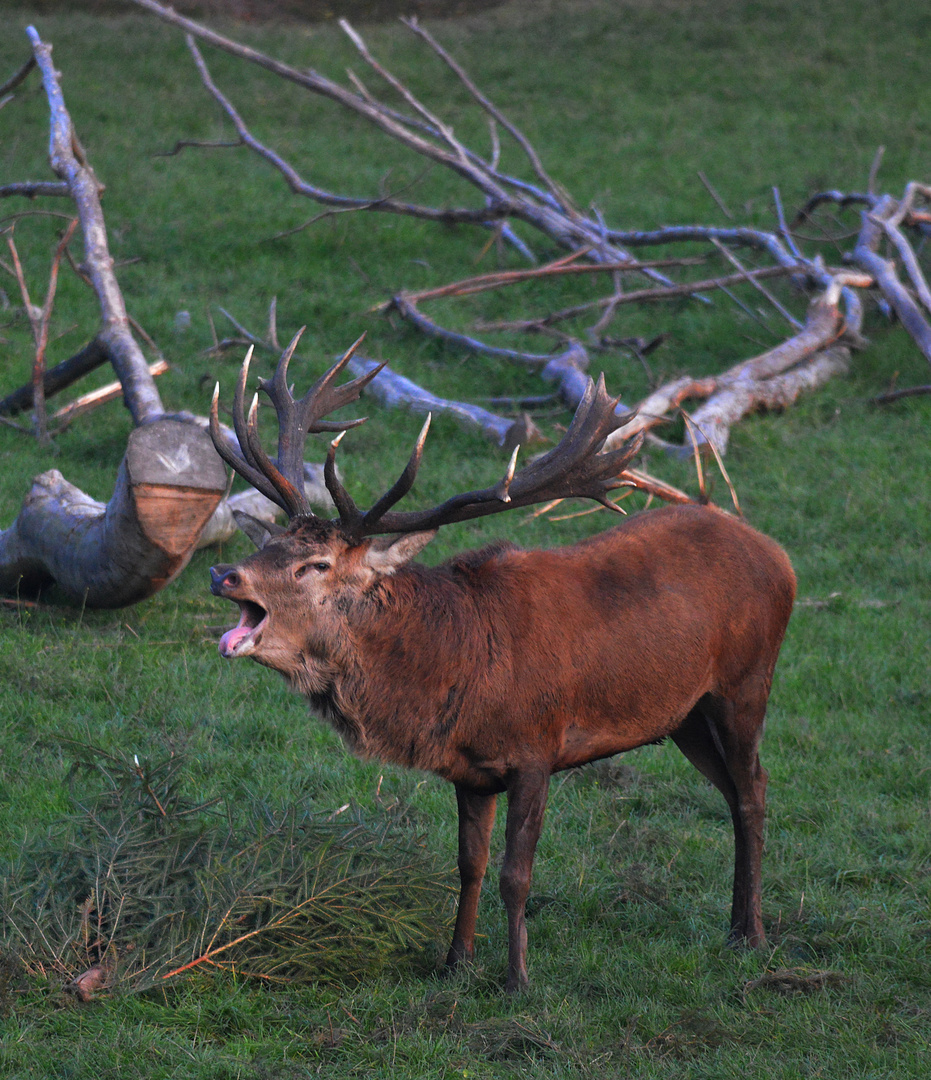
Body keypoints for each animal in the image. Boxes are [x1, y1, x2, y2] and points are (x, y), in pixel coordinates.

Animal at [209, 330, 794, 993]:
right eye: (272, 543)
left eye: (316, 565)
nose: (224, 573)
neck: (456, 673)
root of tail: (779, 556)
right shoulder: (469, 769)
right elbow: (471, 864)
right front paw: (455, 962)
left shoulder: (538, 748)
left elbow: (517, 874)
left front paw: (517, 978)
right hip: (685, 716)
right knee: (731, 789)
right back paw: (735, 924)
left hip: (746, 681)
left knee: (754, 788)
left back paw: (752, 935)